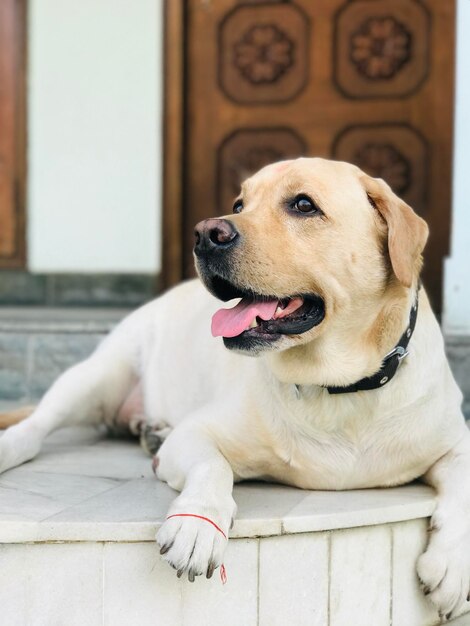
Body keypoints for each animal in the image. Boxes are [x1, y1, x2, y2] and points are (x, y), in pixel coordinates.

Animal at [0, 157, 470, 620]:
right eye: (239, 204)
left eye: (303, 205)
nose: (206, 233)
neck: (336, 387)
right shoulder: (197, 432)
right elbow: (214, 467)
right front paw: (196, 524)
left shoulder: (456, 439)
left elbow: (463, 486)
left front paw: (453, 565)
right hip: (100, 374)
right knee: (37, 426)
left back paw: (151, 431)